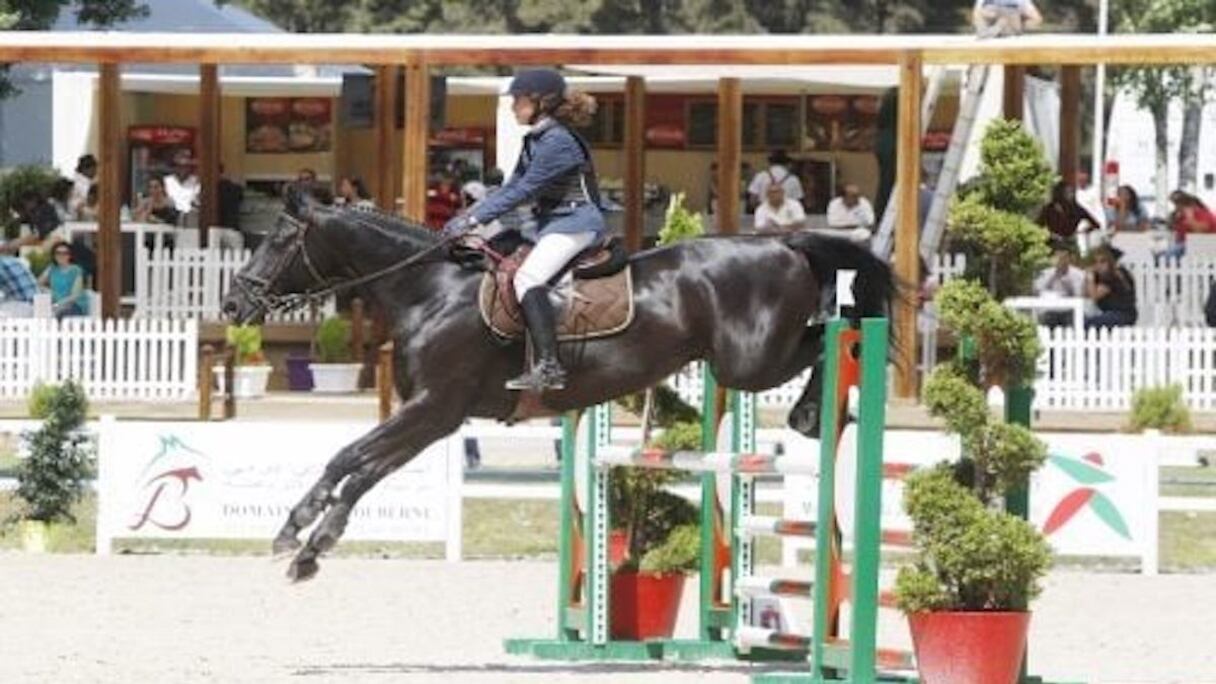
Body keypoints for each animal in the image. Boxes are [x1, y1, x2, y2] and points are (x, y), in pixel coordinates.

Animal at [221, 187, 896, 582]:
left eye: (279, 241)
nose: (232, 305)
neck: (429, 290)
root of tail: (785, 243)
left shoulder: (435, 409)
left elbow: (355, 464)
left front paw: (306, 541)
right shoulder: (432, 415)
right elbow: (356, 465)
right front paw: (299, 537)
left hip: (749, 362)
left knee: (832, 337)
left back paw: (813, 412)